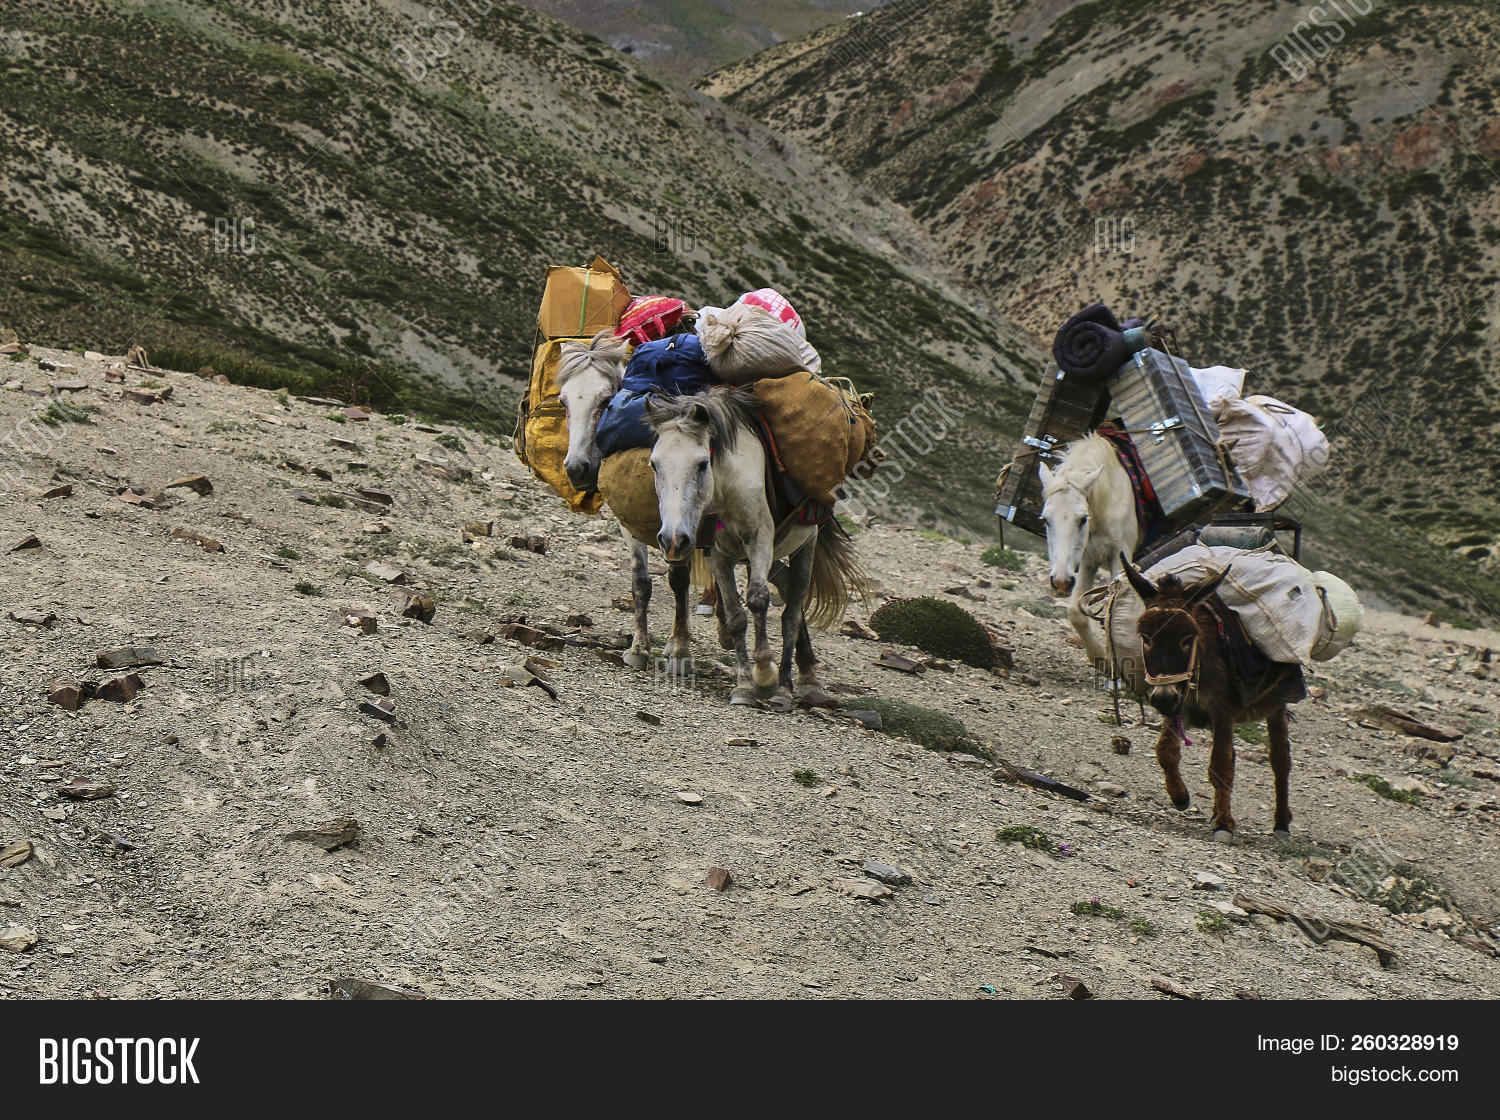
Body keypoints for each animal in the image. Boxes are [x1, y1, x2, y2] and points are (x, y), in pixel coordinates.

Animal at [645, 387, 865, 705]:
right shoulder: (717, 554)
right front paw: (744, 685)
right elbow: (737, 615)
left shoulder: (760, 541)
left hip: (805, 544)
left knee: (791, 612)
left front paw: (764, 674)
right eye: (654, 463)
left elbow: (759, 600)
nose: (672, 539)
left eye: (702, 463)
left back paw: (789, 686)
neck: (726, 488)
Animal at [1039, 433, 1141, 667]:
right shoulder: (1088, 561)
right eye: (1046, 520)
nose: (1060, 582)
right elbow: (1076, 612)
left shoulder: (1120, 557)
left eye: (1082, 519)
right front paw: (1100, 659)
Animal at [1122, 559, 1298, 843]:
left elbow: (1220, 766)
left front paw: (1224, 825)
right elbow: (1166, 752)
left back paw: (1281, 822)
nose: (1162, 699)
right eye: (1146, 638)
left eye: (1187, 638)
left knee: (1280, 760)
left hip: (1276, 706)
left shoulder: (1223, 713)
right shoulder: (1178, 707)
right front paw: (1180, 797)